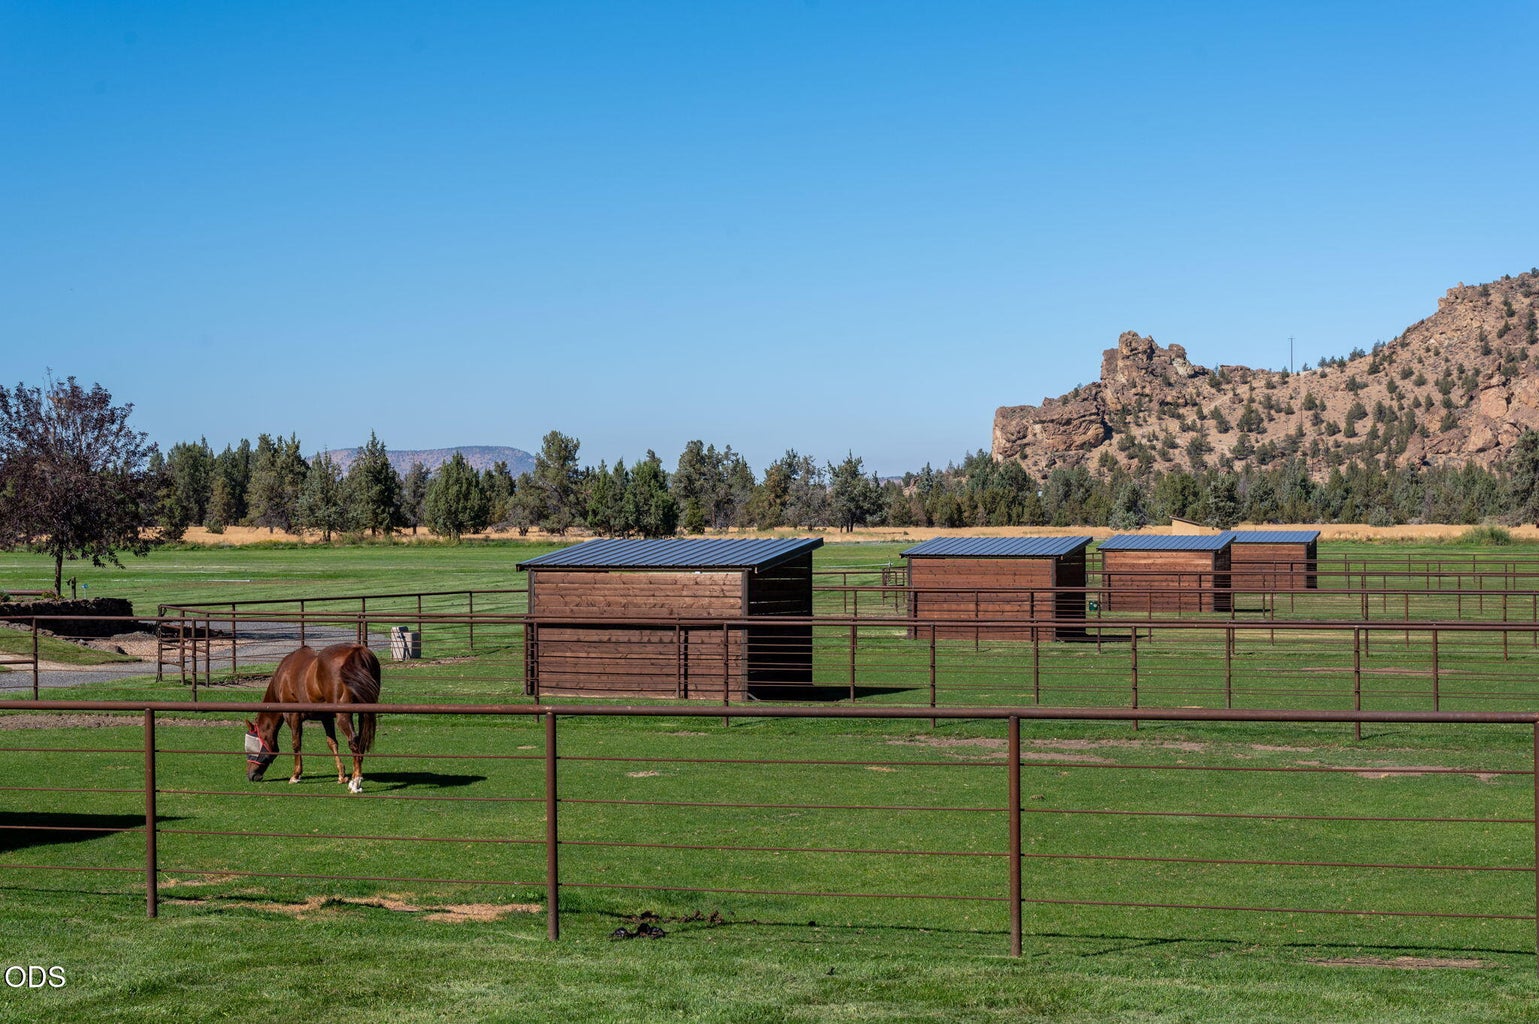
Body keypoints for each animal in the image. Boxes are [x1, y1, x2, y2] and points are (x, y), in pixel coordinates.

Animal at [245, 643, 381, 794]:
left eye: (249, 747)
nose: (250, 775)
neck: (283, 676)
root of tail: (357, 652)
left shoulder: (293, 716)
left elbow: (296, 743)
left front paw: (296, 775)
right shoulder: (326, 717)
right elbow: (332, 743)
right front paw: (341, 774)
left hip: (343, 715)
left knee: (354, 741)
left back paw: (356, 781)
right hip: (364, 712)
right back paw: (357, 775)